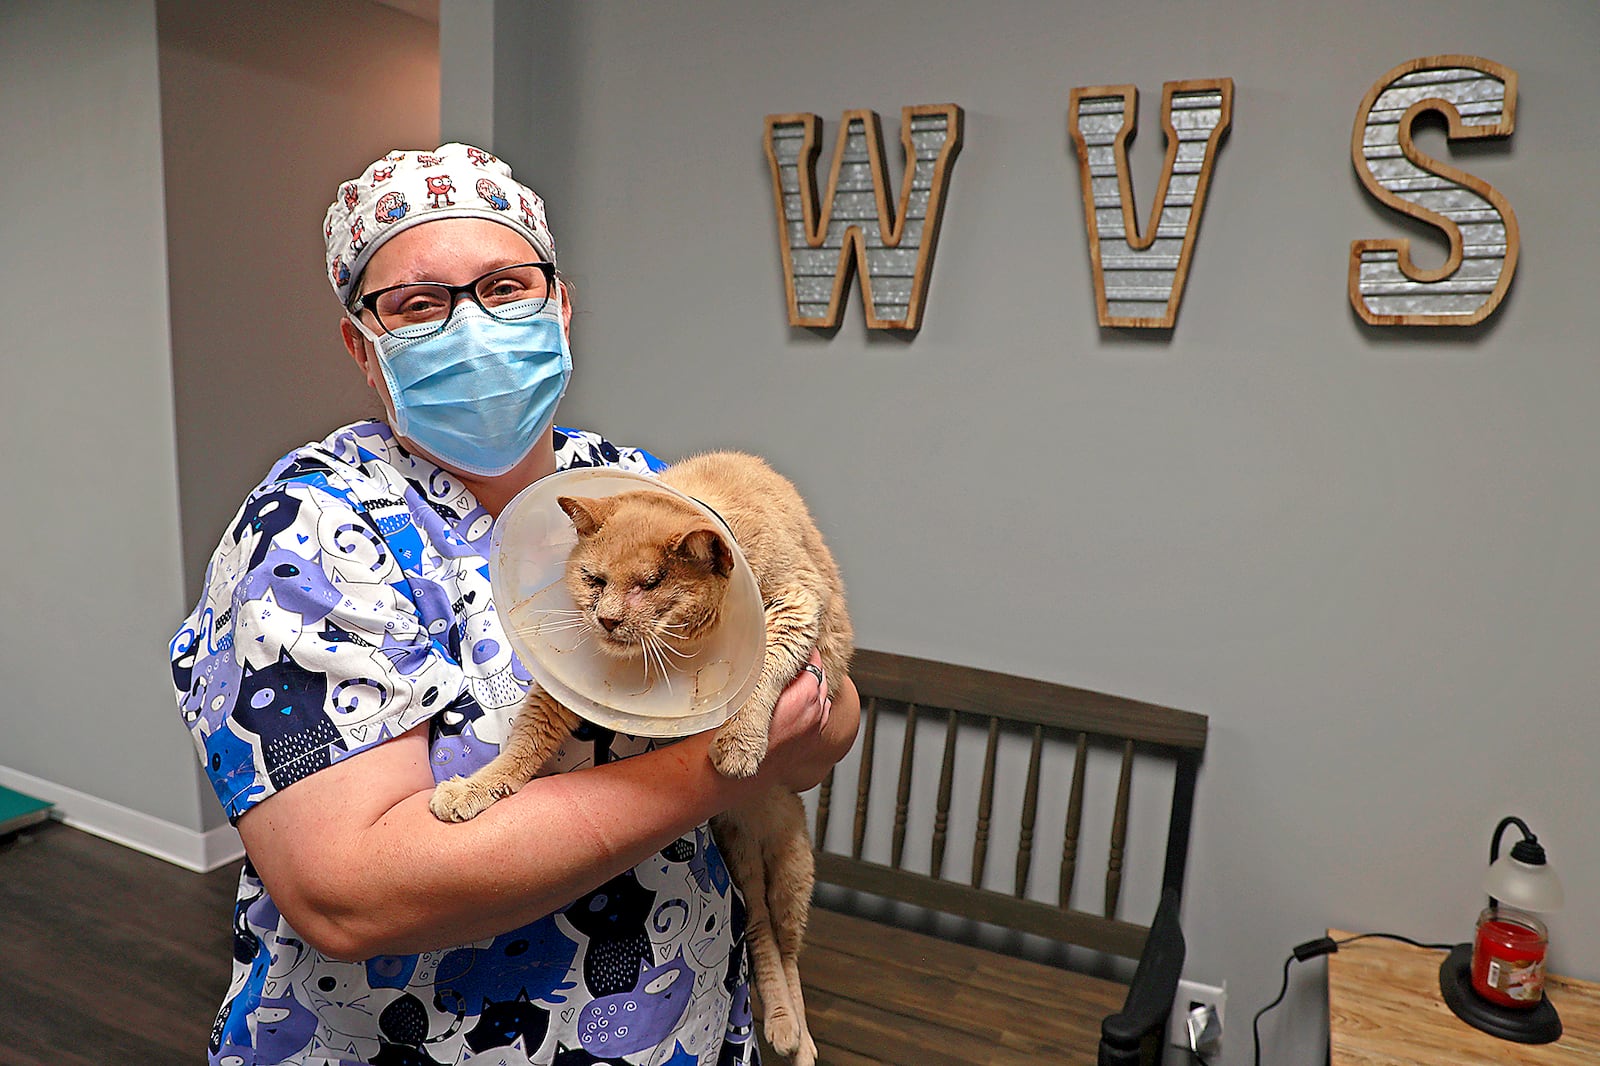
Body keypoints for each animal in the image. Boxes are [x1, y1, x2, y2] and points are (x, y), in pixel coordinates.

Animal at [425, 451, 851, 1062]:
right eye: (593, 579)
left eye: (650, 584)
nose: (604, 619)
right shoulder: (566, 686)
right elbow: (525, 741)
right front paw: (473, 789)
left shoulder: (796, 604)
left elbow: (763, 673)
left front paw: (738, 745)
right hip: (743, 857)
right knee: (760, 932)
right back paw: (782, 1027)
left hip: (792, 869)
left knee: (786, 946)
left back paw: (797, 1039)